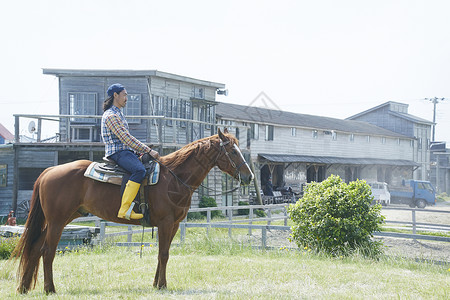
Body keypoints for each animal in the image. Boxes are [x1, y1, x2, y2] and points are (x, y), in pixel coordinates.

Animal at [12, 127, 255, 294]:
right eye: (233, 152)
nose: (249, 176)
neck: (174, 178)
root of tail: (50, 170)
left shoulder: (174, 224)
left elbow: (163, 253)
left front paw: (156, 283)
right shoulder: (166, 222)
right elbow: (164, 254)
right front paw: (162, 285)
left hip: (62, 218)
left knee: (35, 248)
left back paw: (24, 287)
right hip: (57, 221)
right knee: (47, 251)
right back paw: (50, 289)